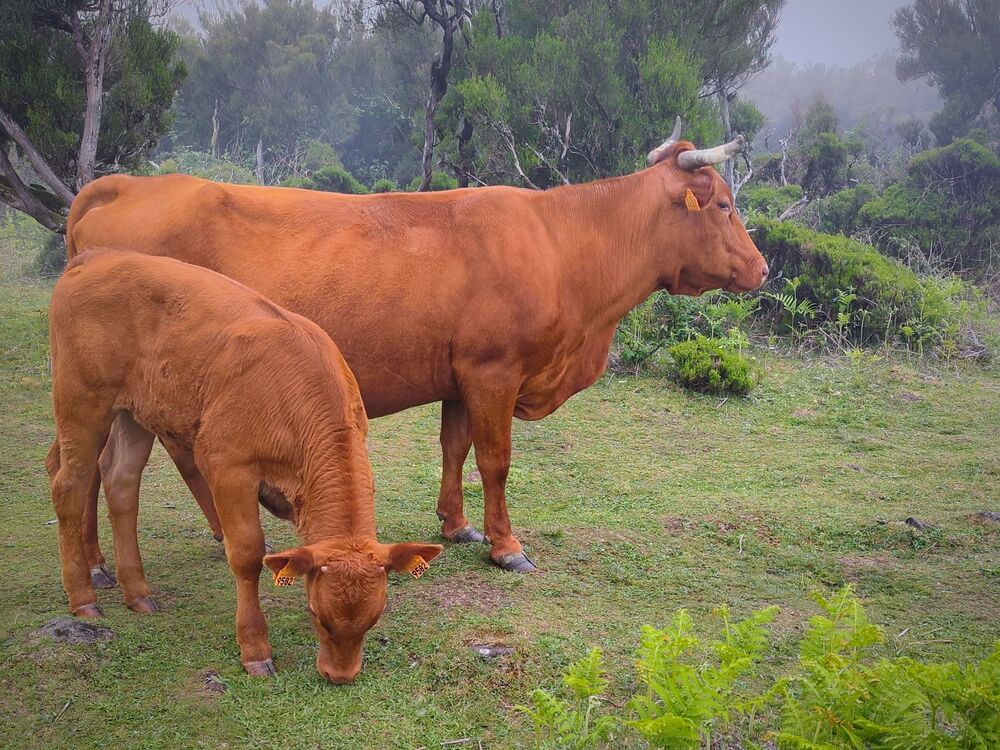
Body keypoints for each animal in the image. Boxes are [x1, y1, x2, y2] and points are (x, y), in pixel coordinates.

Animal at [47, 249, 442, 681]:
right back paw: (82, 596)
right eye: (317, 615)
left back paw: (137, 593)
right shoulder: (228, 467)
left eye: (373, 619)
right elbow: (247, 555)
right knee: (69, 485)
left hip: (135, 414)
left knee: (120, 484)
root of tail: (97, 256)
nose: (340, 676)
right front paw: (255, 649)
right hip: (82, 405)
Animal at [66, 119, 768, 573]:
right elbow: (496, 461)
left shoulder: (461, 376)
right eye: (724, 205)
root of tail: (129, 185)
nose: (762, 270)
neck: (559, 243)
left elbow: (455, 448)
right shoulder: (494, 371)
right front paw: (506, 547)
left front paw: (456, 526)